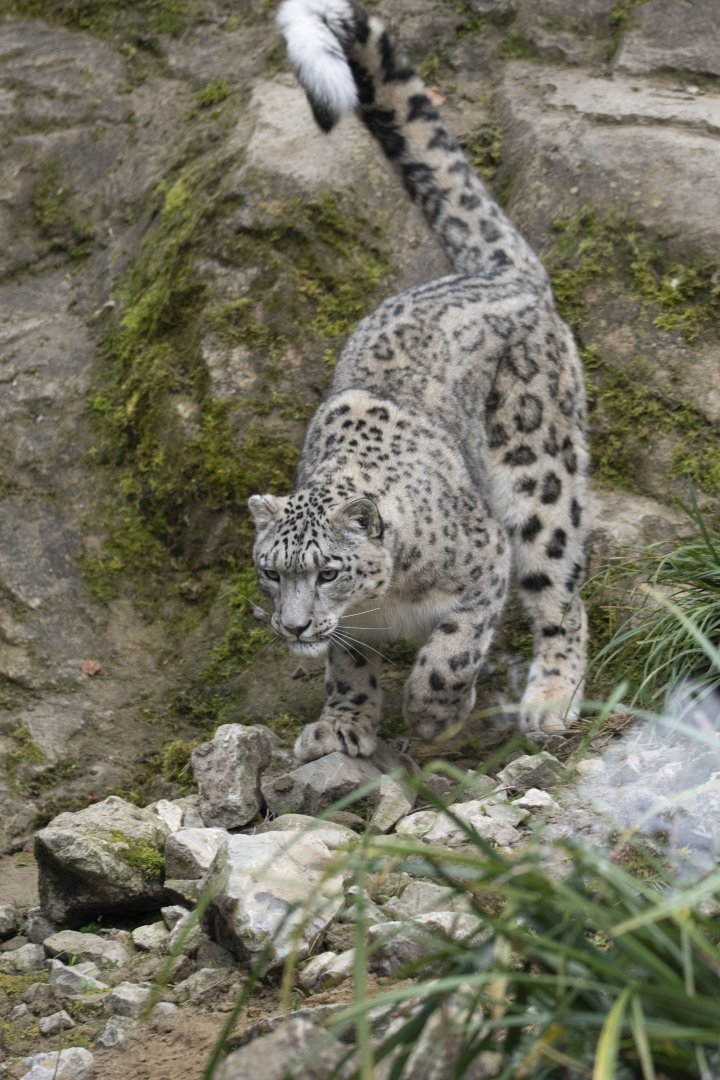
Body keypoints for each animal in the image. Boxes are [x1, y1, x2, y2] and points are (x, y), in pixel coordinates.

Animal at [249, 0, 589, 764]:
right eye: (270, 570)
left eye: (329, 570)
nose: (292, 626)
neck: (385, 602)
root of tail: (500, 274)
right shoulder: (352, 633)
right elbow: (347, 662)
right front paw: (341, 727)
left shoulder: (484, 563)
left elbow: (453, 649)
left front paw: (433, 716)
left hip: (539, 475)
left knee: (562, 591)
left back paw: (550, 700)